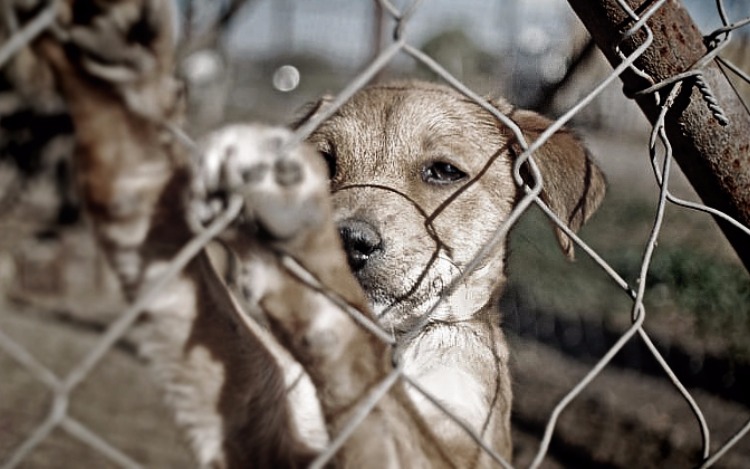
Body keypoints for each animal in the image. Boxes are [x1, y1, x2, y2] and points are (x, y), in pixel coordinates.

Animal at [26, 1, 608, 466]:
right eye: (323, 162)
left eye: (443, 172)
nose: (349, 241)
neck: (398, 346)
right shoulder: (253, 420)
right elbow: (187, 275)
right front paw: (118, 81)